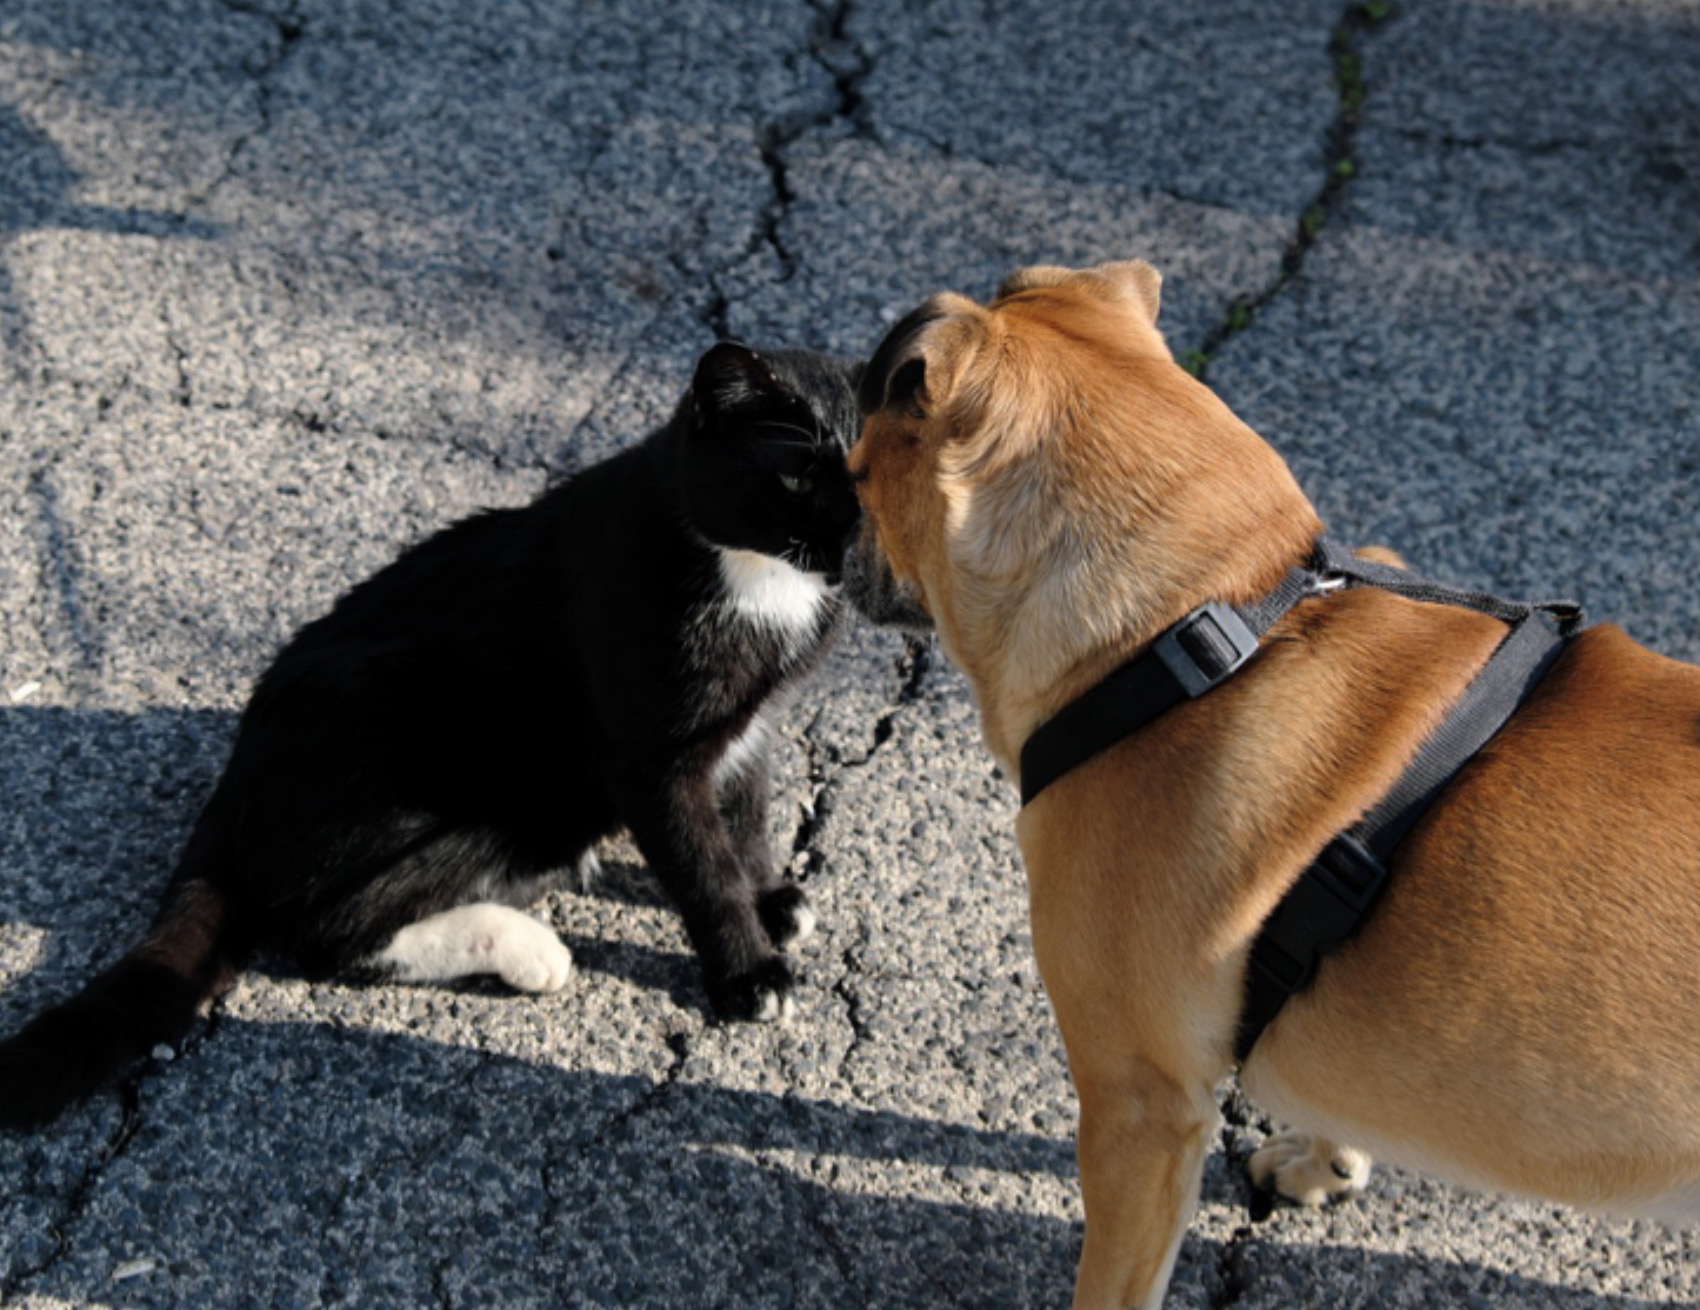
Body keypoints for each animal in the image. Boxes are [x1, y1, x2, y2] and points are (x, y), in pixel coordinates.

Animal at [3, 343, 863, 1134]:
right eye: (796, 477)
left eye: (872, 473)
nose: (854, 533)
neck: (758, 585)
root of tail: (236, 776)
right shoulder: (647, 759)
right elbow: (701, 865)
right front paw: (749, 972)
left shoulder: (752, 725)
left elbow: (745, 815)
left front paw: (771, 897)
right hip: (455, 751)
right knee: (327, 932)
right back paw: (527, 948)